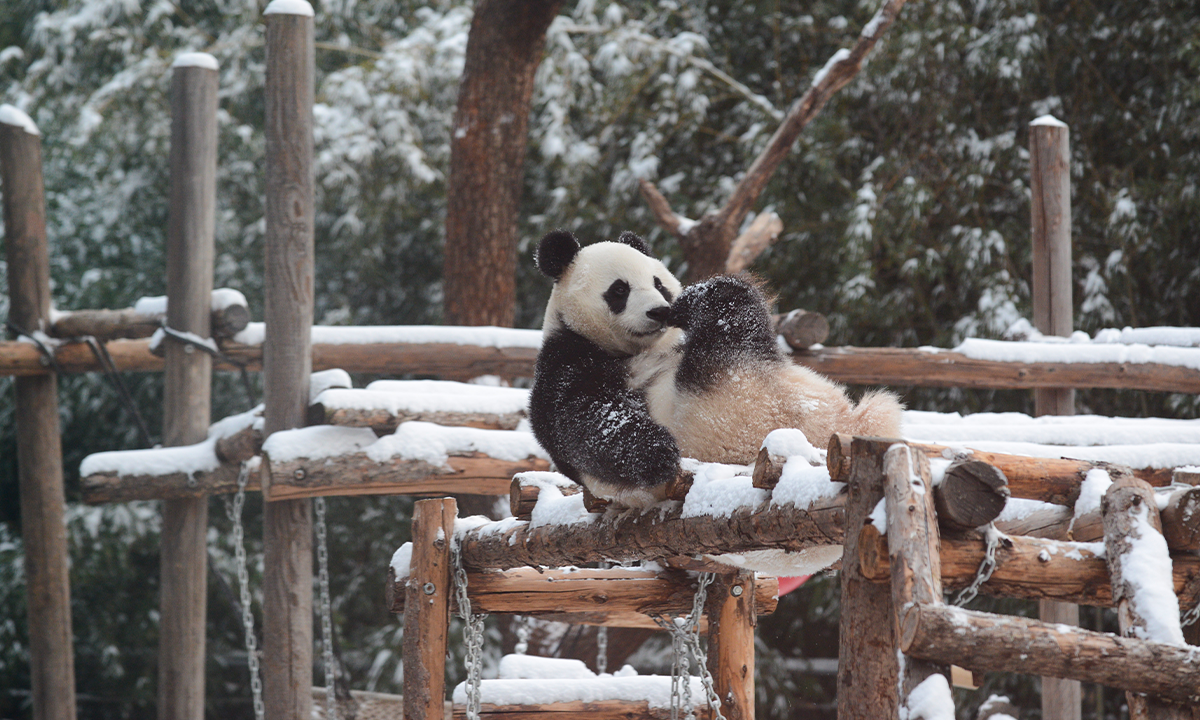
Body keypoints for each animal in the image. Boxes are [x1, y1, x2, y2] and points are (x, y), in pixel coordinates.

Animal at [528, 229, 686, 506]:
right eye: (620, 289)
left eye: (658, 284)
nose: (659, 311)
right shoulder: (565, 359)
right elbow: (588, 418)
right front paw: (657, 453)